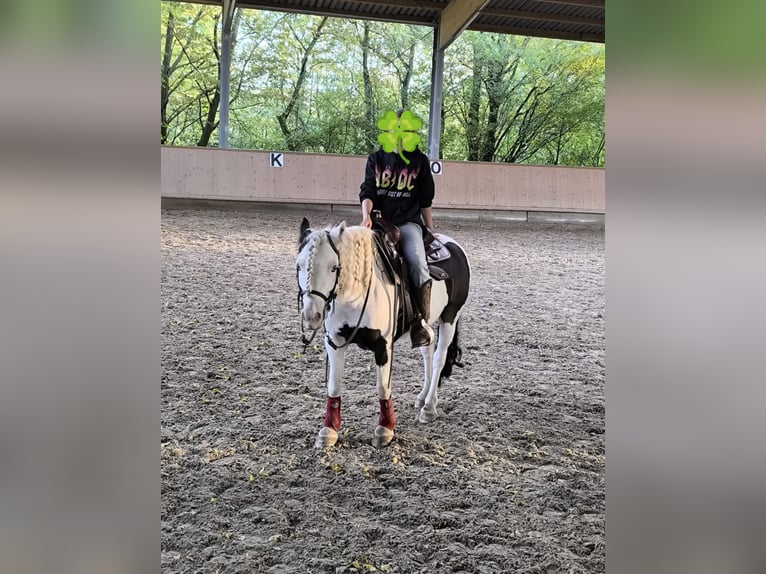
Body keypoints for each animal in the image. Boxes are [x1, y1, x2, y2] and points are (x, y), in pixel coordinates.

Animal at [296, 218, 472, 448]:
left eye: (334, 267)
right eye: (298, 265)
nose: (312, 315)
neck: (356, 294)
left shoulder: (383, 345)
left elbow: (382, 386)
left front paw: (385, 428)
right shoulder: (334, 342)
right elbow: (334, 385)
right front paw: (329, 430)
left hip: (450, 317)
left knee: (439, 358)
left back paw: (429, 407)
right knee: (427, 351)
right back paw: (422, 397)